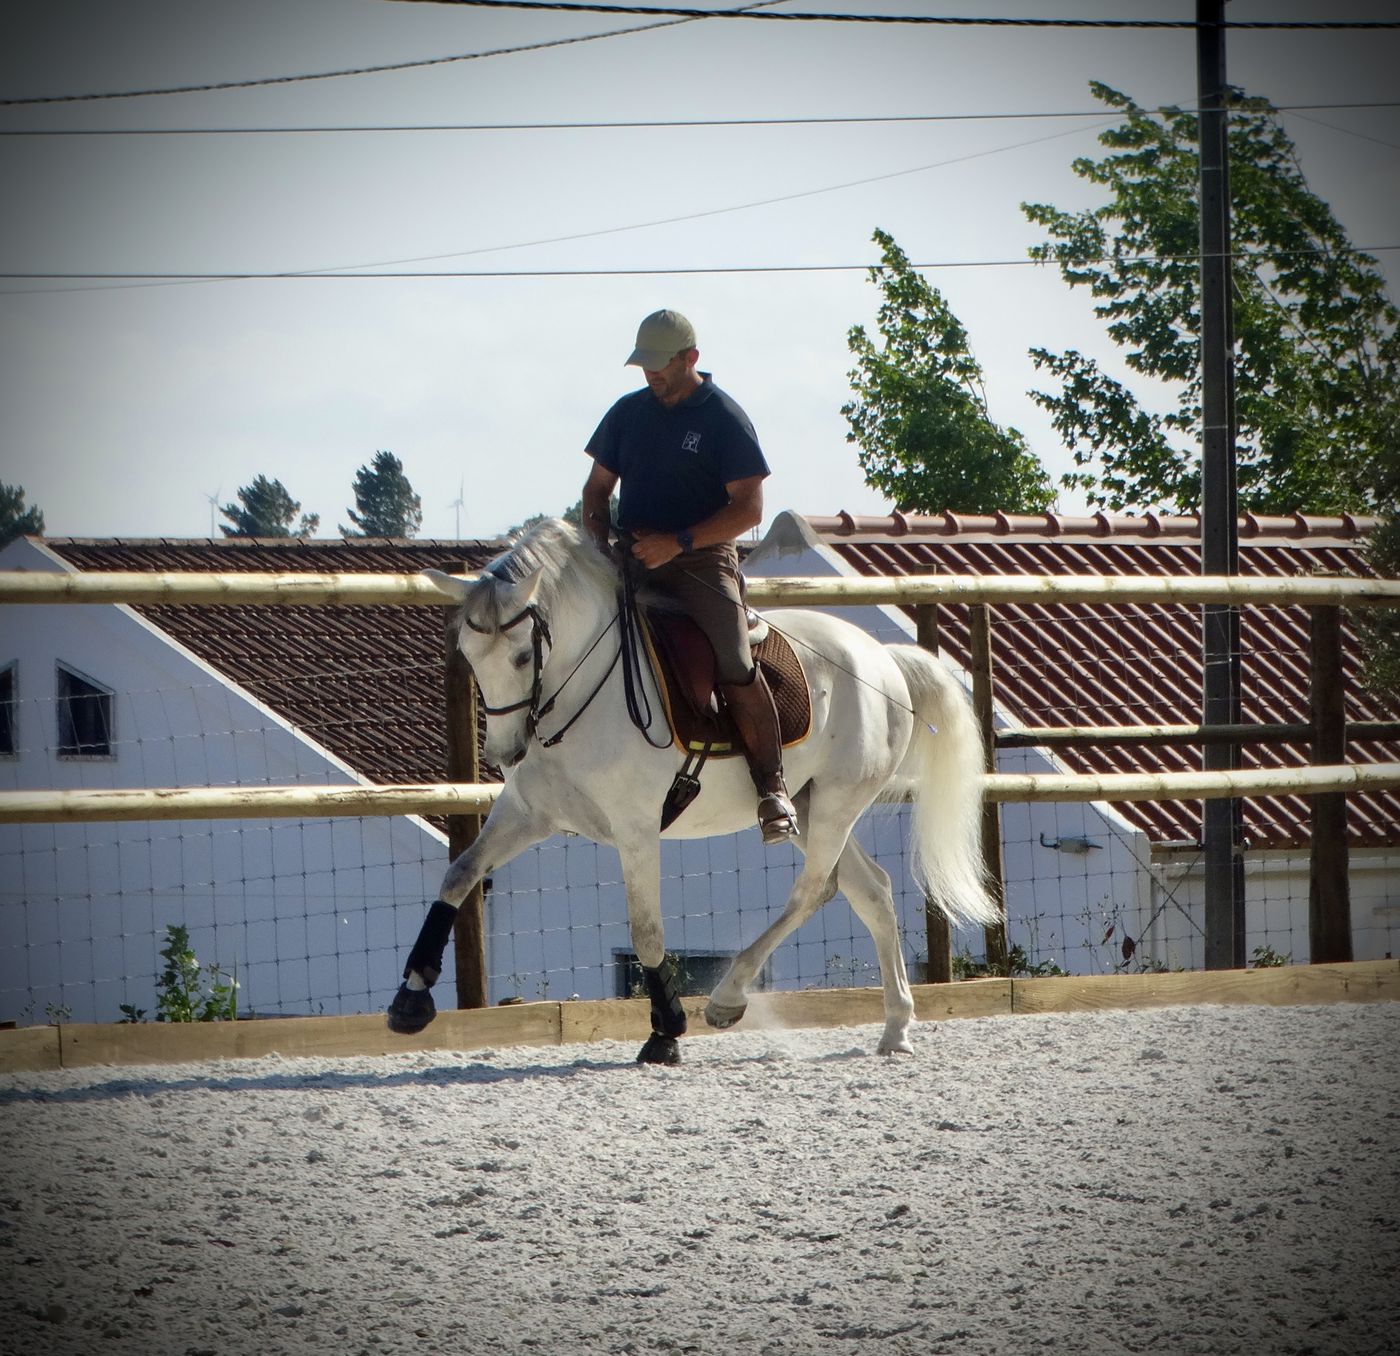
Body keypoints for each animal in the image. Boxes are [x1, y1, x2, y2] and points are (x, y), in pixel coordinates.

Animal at [386, 517, 996, 1057]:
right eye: (469, 656)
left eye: (520, 656)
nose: (505, 752)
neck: (582, 692)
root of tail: (883, 658)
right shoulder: (527, 814)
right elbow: (459, 875)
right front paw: (411, 997)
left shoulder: (635, 830)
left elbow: (647, 933)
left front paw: (666, 1029)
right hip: (808, 803)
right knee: (871, 891)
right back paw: (896, 1028)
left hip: (836, 804)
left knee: (812, 890)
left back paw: (727, 998)